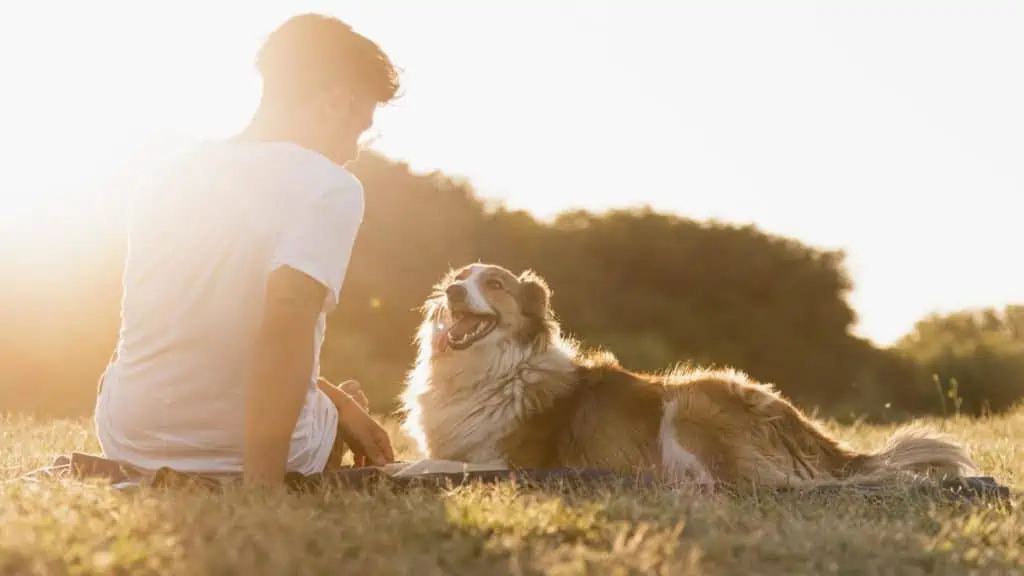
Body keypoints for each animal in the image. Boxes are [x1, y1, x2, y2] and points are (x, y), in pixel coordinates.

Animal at [397, 262, 974, 485]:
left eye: (494, 283)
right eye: (458, 278)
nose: (452, 291)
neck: (490, 370)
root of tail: (805, 428)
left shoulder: (514, 461)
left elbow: (444, 464)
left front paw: (406, 471)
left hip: (690, 404)